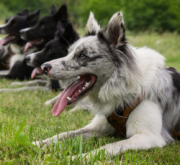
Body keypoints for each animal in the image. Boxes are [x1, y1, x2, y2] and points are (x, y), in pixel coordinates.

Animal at [32, 11, 180, 159]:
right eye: (68, 53)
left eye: (82, 55)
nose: (44, 67)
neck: (122, 86)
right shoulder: (96, 127)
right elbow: (65, 134)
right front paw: (37, 143)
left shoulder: (148, 137)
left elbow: (107, 147)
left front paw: (76, 158)